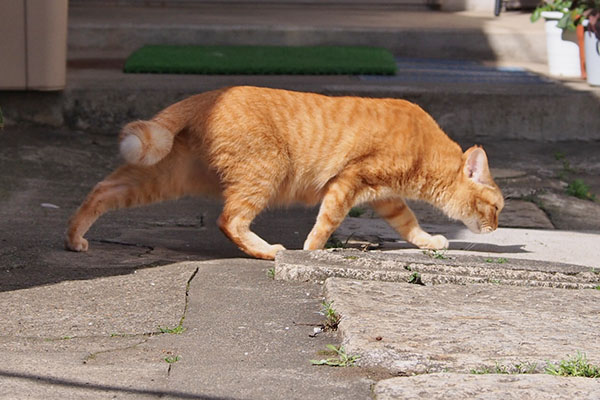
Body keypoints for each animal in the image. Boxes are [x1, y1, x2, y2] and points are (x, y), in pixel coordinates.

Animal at [65, 85, 504, 260]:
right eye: (497, 207)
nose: (498, 228)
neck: (427, 149)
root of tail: (206, 95)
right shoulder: (349, 181)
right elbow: (326, 222)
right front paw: (311, 251)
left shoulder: (387, 198)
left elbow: (410, 224)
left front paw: (430, 241)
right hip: (265, 172)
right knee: (230, 220)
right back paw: (268, 251)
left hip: (164, 176)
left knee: (101, 190)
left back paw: (74, 238)